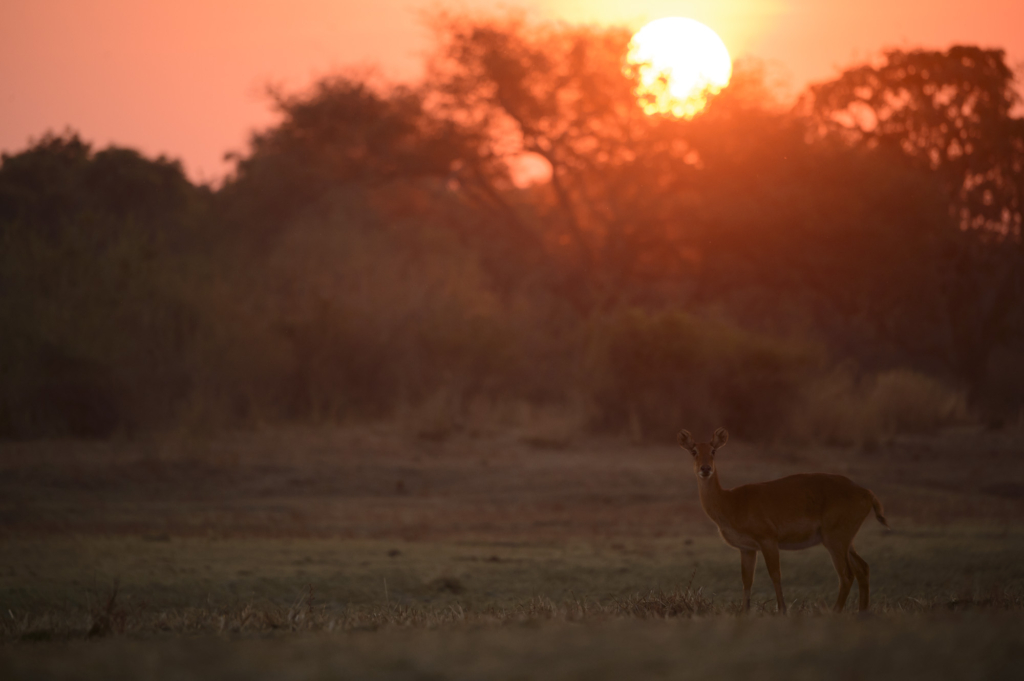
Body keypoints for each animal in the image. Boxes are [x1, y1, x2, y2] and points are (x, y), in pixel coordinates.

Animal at [679, 428, 888, 614]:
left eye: (713, 451)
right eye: (694, 451)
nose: (705, 469)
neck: (730, 503)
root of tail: (867, 493)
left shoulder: (768, 539)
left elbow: (775, 574)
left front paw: (782, 610)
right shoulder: (747, 548)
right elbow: (747, 580)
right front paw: (744, 611)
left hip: (835, 538)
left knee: (846, 575)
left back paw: (834, 611)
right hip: (846, 540)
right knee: (863, 568)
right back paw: (862, 611)